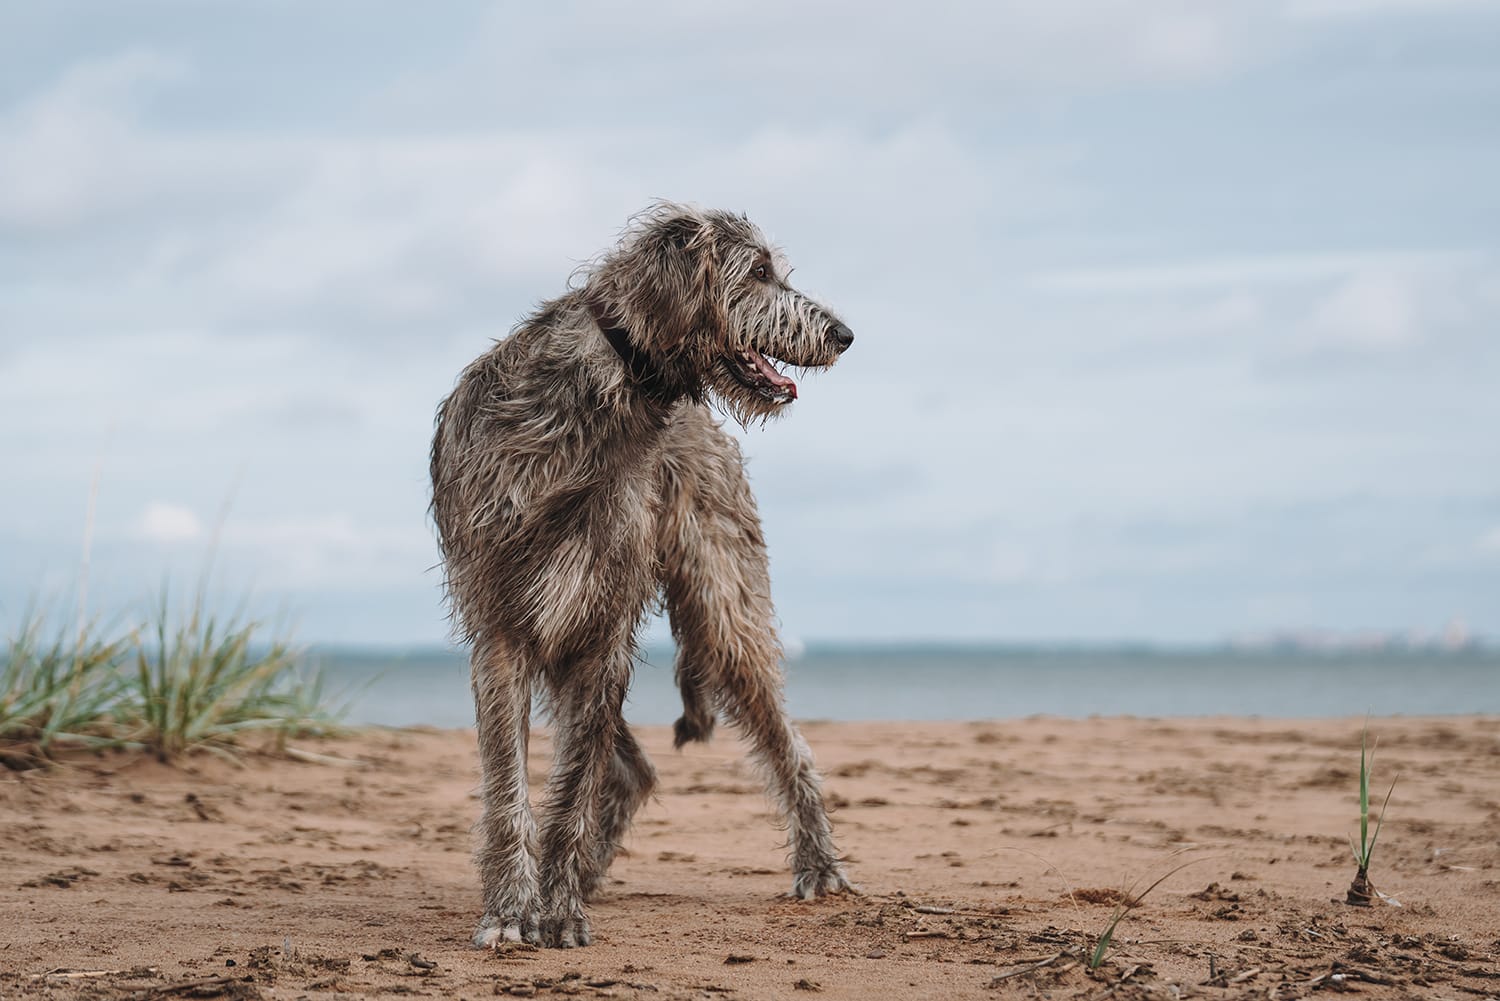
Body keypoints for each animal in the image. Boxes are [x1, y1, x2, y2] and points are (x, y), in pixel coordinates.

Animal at [432, 201, 858, 948]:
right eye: (759, 271)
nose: (844, 334)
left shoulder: (602, 624)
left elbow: (574, 781)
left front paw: (558, 910)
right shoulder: (504, 626)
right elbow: (509, 782)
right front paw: (512, 910)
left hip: (723, 604)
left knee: (783, 738)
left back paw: (819, 863)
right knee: (630, 767)